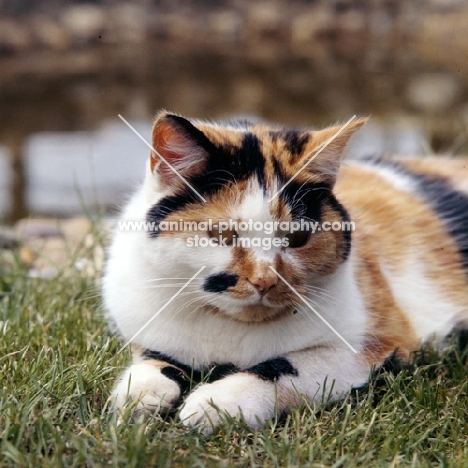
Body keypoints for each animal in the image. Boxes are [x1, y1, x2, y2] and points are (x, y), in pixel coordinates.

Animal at [104, 111, 468, 434]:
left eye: (297, 238)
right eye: (223, 234)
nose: (264, 280)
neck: (230, 331)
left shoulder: (372, 344)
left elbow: (284, 368)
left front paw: (215, 404)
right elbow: (155, 358)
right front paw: (139, 395)